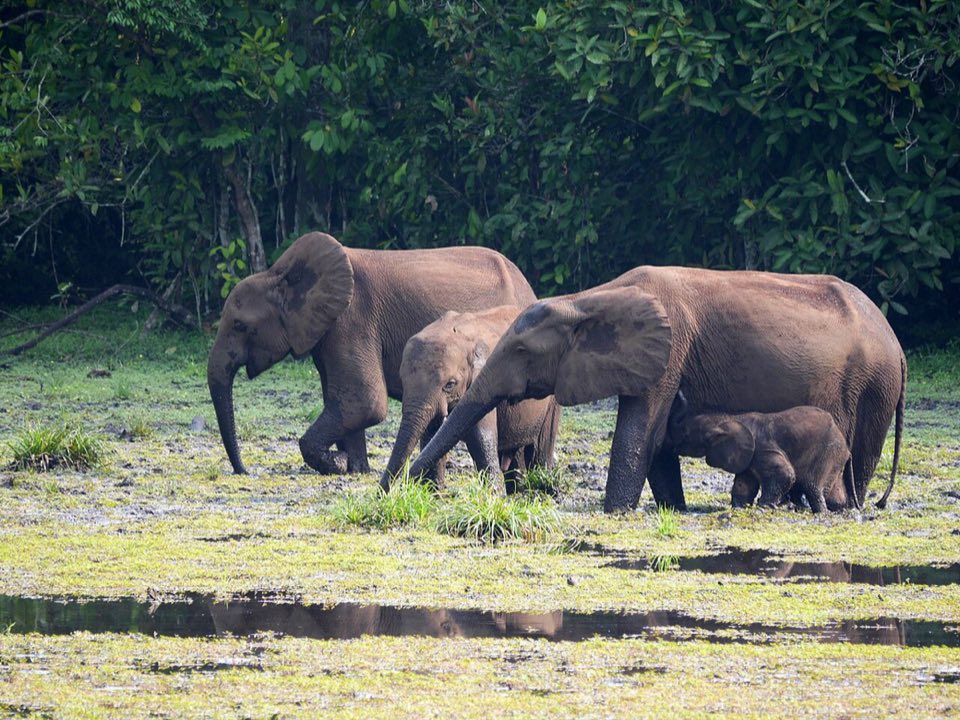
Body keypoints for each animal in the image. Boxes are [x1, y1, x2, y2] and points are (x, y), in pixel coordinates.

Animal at [207, 231, 535, 475]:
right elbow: (345, 402)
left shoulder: (352, 320)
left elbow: (364, 402)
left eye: (240, 326)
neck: (277, 274)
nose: (245, 471)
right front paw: (355, 468)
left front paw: (338, 463)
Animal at [380, 305, 561, 492]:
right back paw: (518, 490)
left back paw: (543, 486)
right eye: (402, 380)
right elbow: (432, 434)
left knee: (542, 445)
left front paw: (494, 494)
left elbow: (479, 435)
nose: (384, 494)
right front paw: (433, 493)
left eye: (450, 384)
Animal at [666, 391, 855, 512]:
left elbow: (786, 474)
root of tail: (846, 447)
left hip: (828, 453)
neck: (729, 419)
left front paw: (763, 507)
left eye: (686, 435)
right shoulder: (746, 458)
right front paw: (739, 508)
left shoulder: (763, 450)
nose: (679, 392)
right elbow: (743, 485)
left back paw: (820, 512)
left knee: (812, 485)